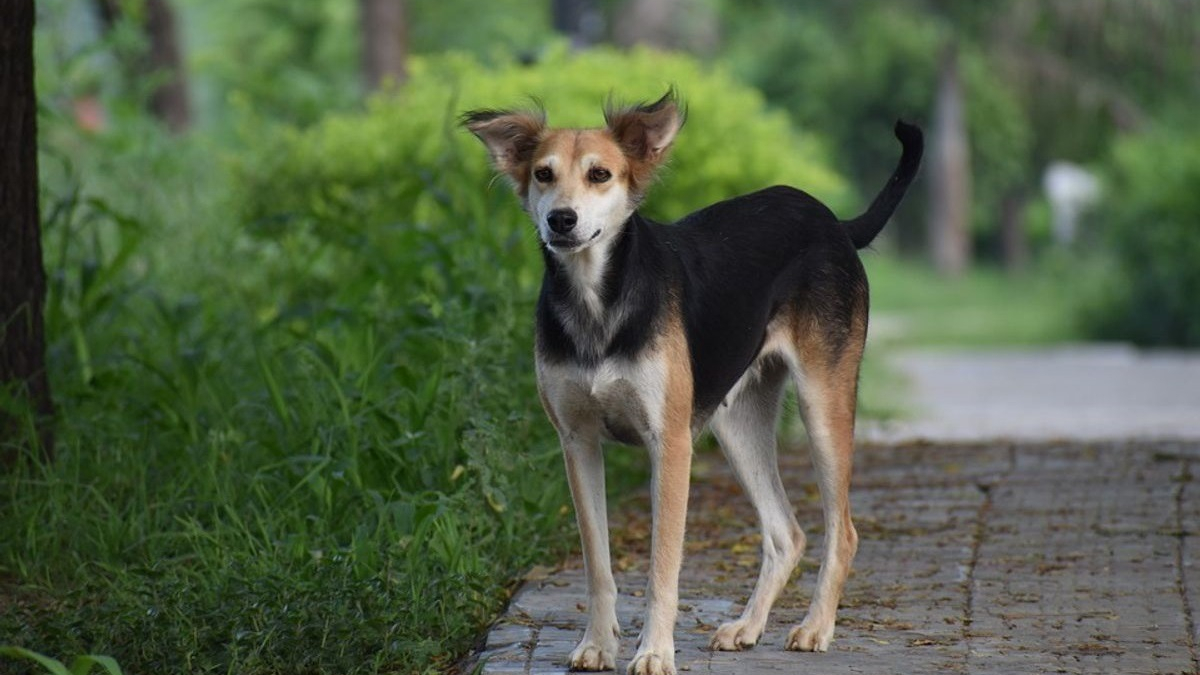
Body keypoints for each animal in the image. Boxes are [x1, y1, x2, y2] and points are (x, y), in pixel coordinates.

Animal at [463, 90, 921, 672]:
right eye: (543, 173)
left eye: (599, 174)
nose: (561, 220)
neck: (597, 302)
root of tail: (833, 222)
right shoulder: (577, 441)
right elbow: (597, 563)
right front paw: (598, 644)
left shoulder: (670, 443)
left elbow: (662, 568)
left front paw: (654, 651)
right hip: (736, 421)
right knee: (786, 534)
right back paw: (747, 627)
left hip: (823, 402)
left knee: (843, 531)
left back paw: (816, 627)